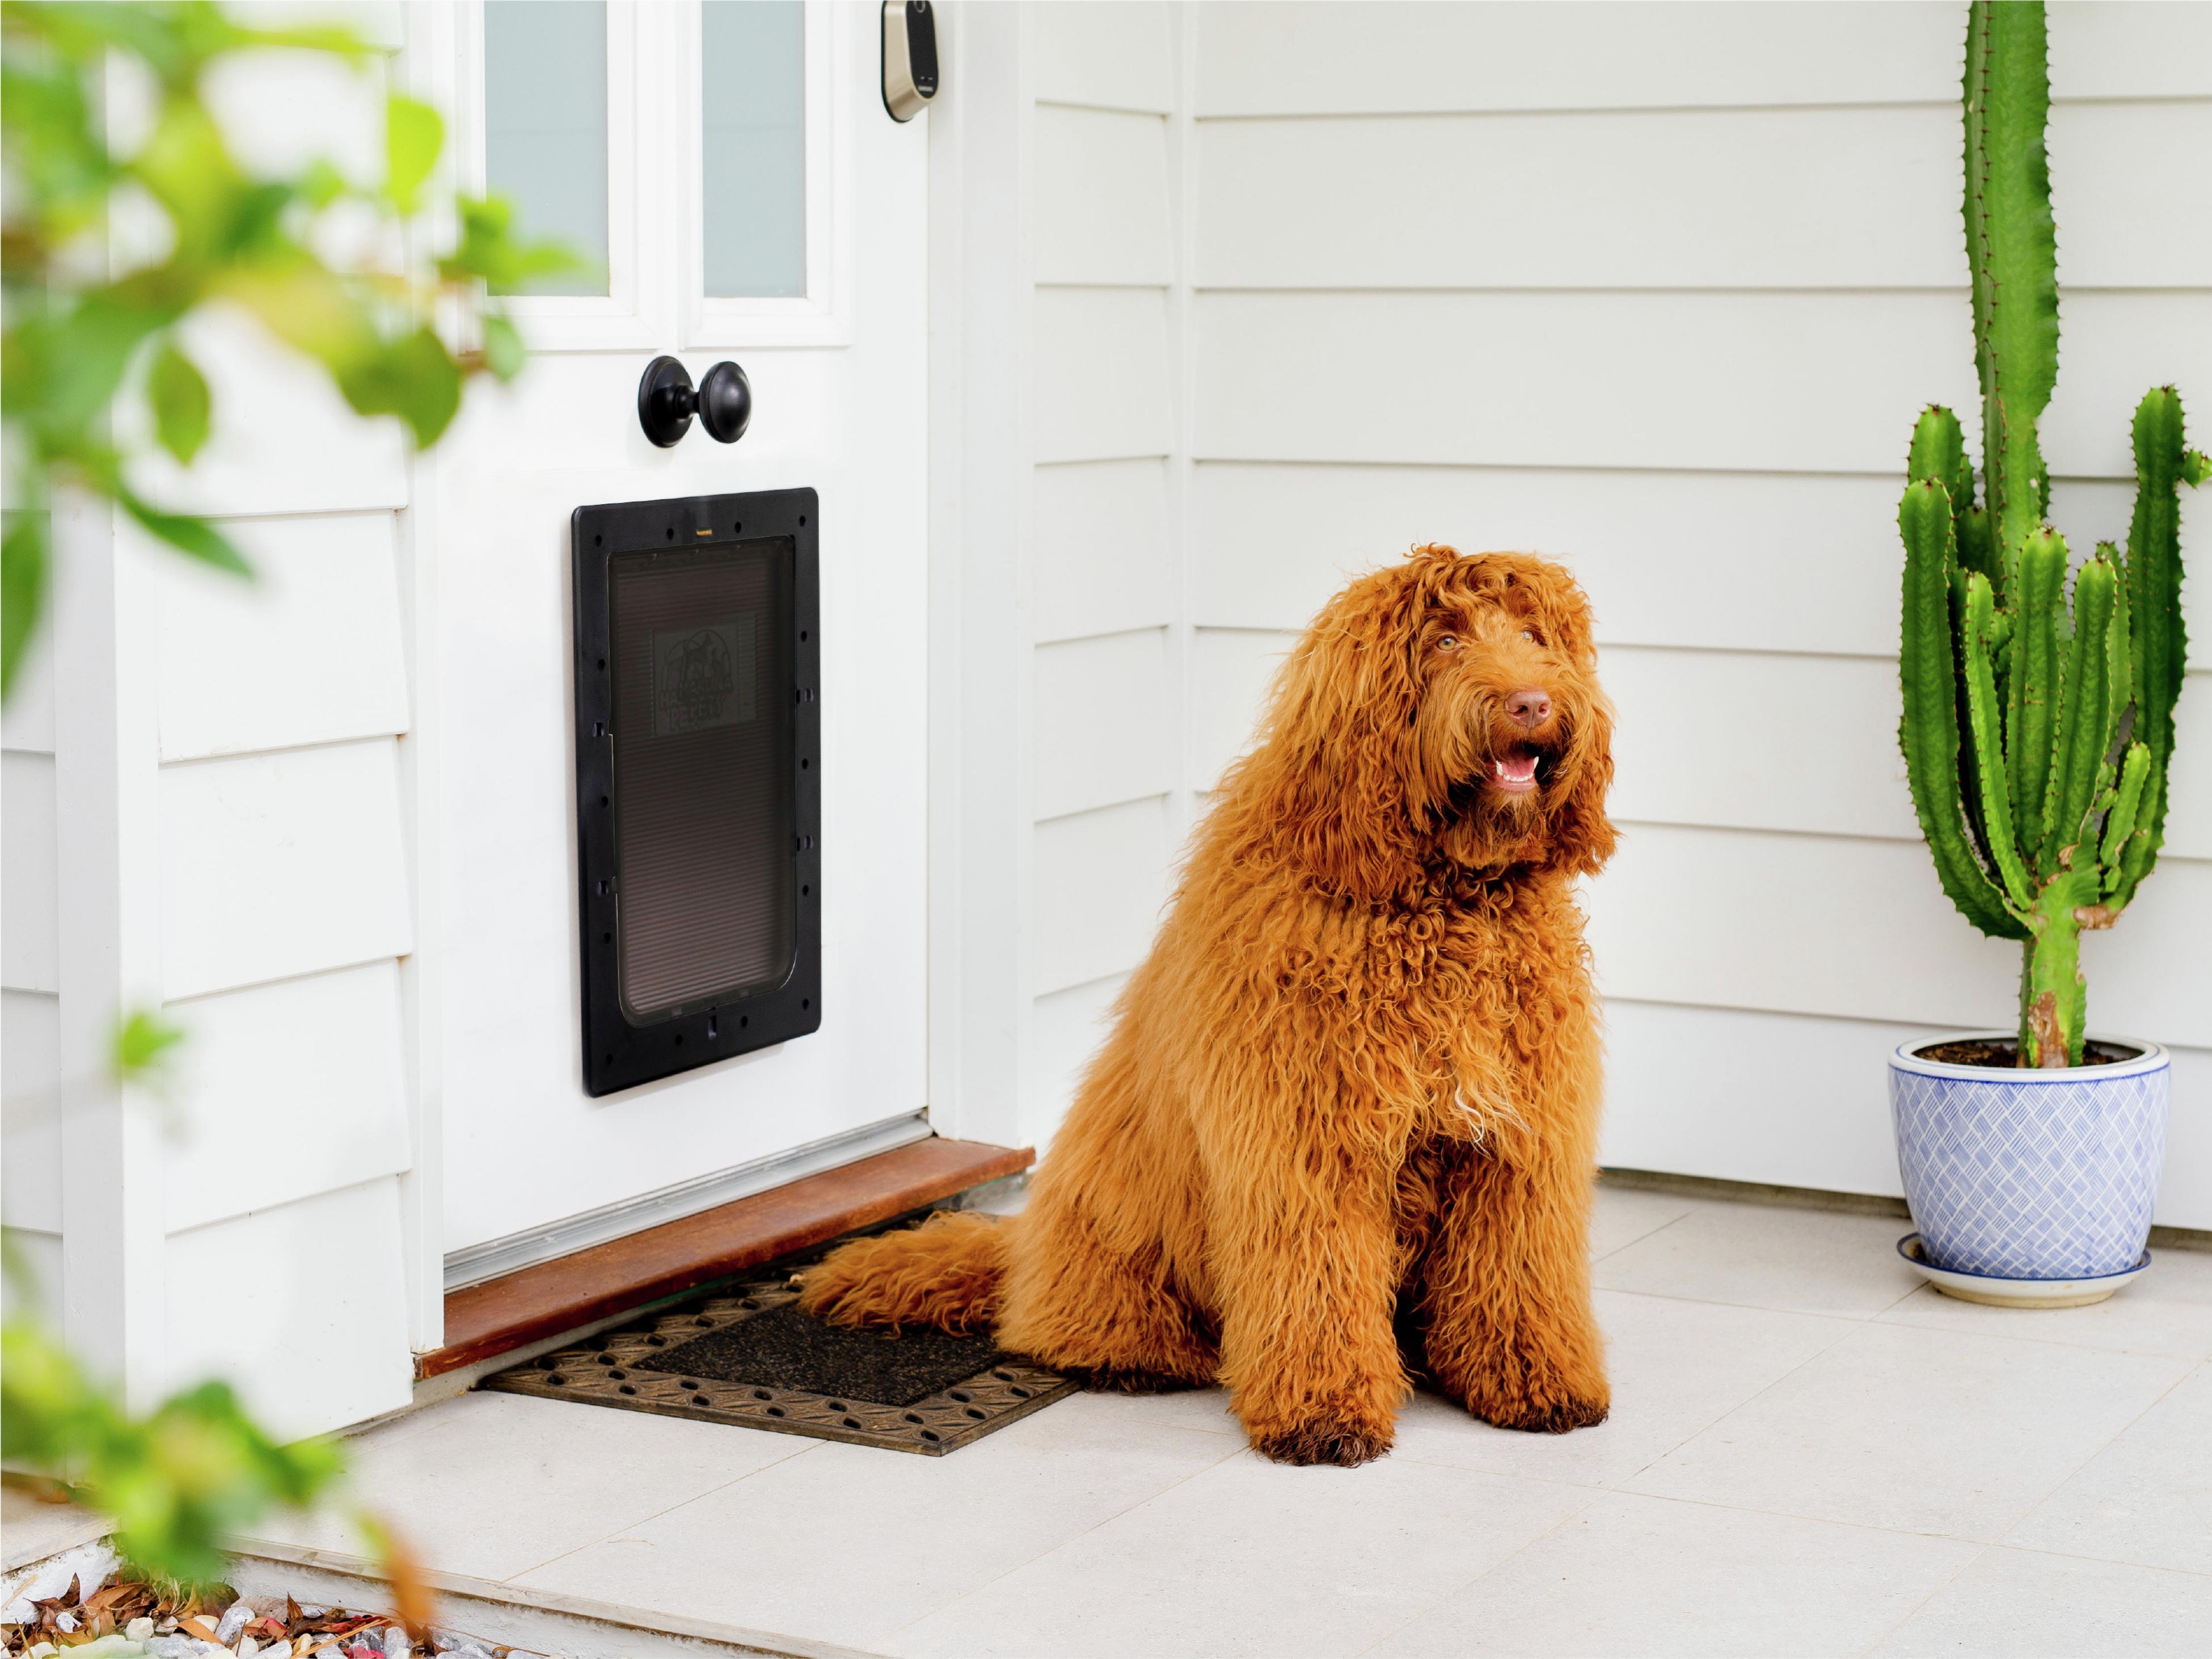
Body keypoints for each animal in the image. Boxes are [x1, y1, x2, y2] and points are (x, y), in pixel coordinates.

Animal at [805, 546, 1619, 1468]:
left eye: (1534, 636)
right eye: (1444, 639)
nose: (1533, 702)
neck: (1437, 903)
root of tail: (1024, 1245)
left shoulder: (1519, 1147)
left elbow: (1519, 1272)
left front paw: (1538, 1384)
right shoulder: (1306, 1145)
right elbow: (1317, 1279)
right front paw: (1325, 1413)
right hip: (1115, 1235)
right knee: (1061, 1323)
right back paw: (1133, 1355)